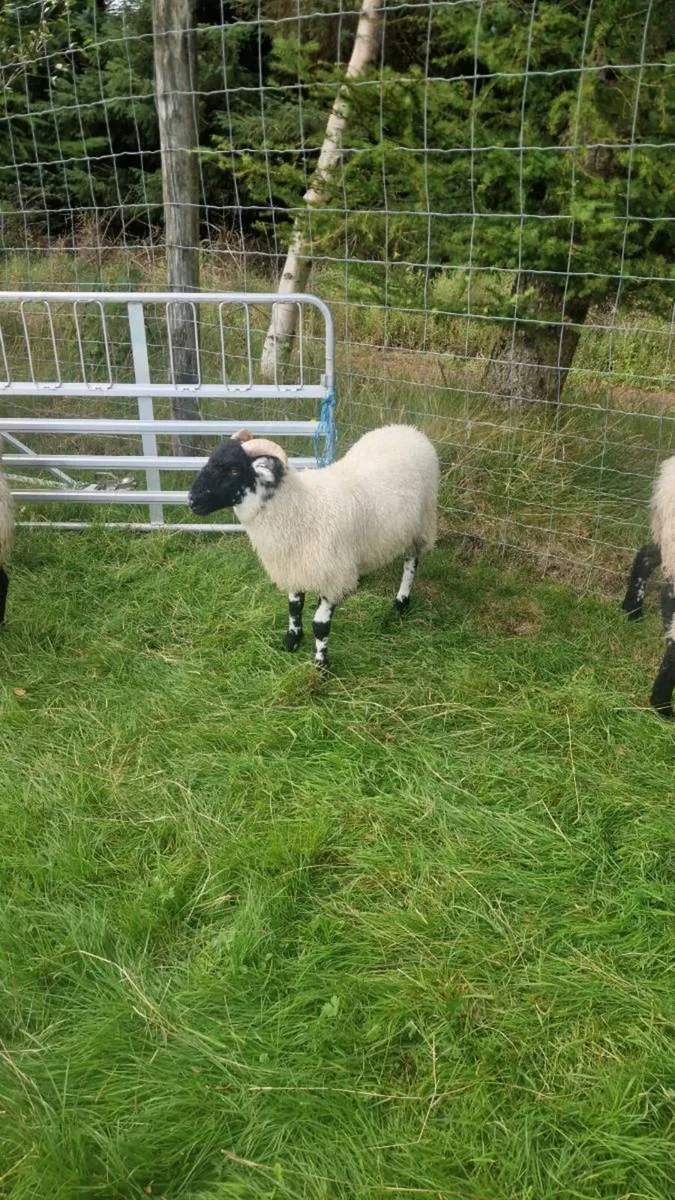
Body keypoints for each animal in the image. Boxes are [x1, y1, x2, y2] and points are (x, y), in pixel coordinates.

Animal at [188, 424, 439, 671]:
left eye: (233, 470)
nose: (191, 501)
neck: (301, 507)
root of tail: (406, 429)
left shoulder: (332, 575)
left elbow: (320, 625)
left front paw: (321, 665)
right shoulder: (295, 564)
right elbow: (294, 608)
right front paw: (292, 641)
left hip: (421, 524)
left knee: (411, 563)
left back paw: (401, 602)